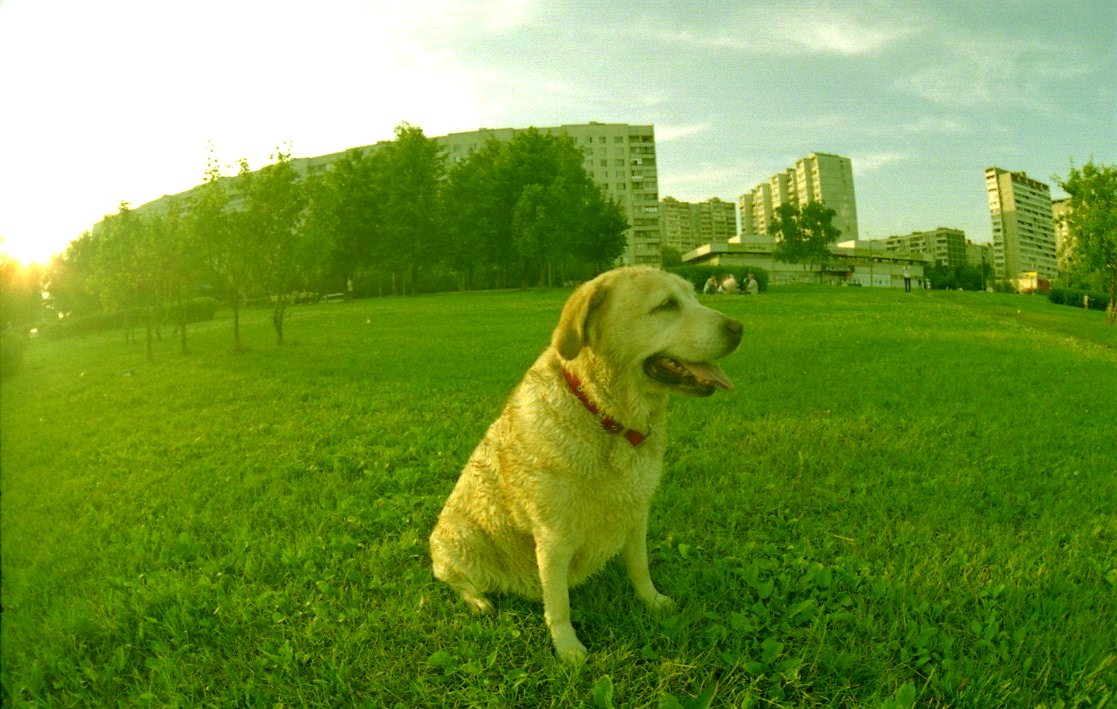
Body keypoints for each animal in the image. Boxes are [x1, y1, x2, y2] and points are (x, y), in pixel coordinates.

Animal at [426, 265, 741, 660]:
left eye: (694, 296)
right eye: (666, 305)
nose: (738, 327)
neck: (604, 415)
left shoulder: (637, 511)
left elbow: (640, 566)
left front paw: (652, 601)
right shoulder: (553, 536)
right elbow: (558, 601)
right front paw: (568, 649)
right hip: (461, 539)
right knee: (456, 580)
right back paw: (478, 601)